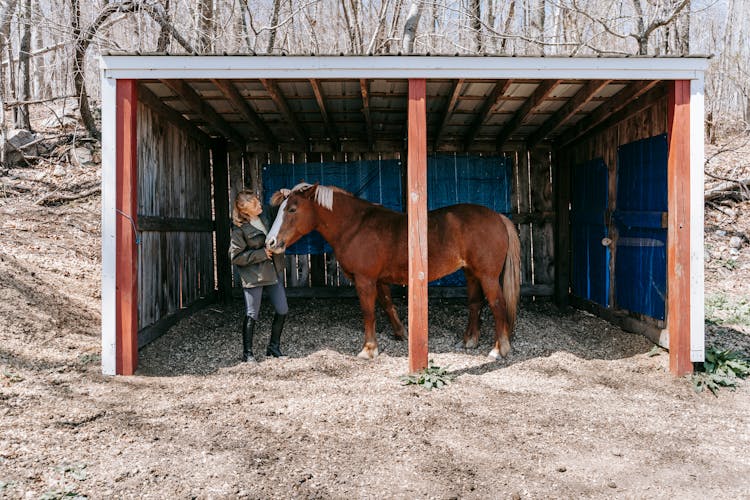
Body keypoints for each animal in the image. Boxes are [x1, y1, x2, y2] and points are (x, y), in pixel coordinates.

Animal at [266, 182, 524, 362]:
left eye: (292, 209)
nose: (270, 242)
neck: (355, 226)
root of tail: (498, 217)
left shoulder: (365, 280)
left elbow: (368, 312)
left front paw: (369, 349)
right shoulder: (378, 280)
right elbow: (387, 305)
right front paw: (401, 333)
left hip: (488, 276)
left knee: (497, 305)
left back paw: (498, 349)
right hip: (472, 273)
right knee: (475, 304)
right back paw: (469, 341)